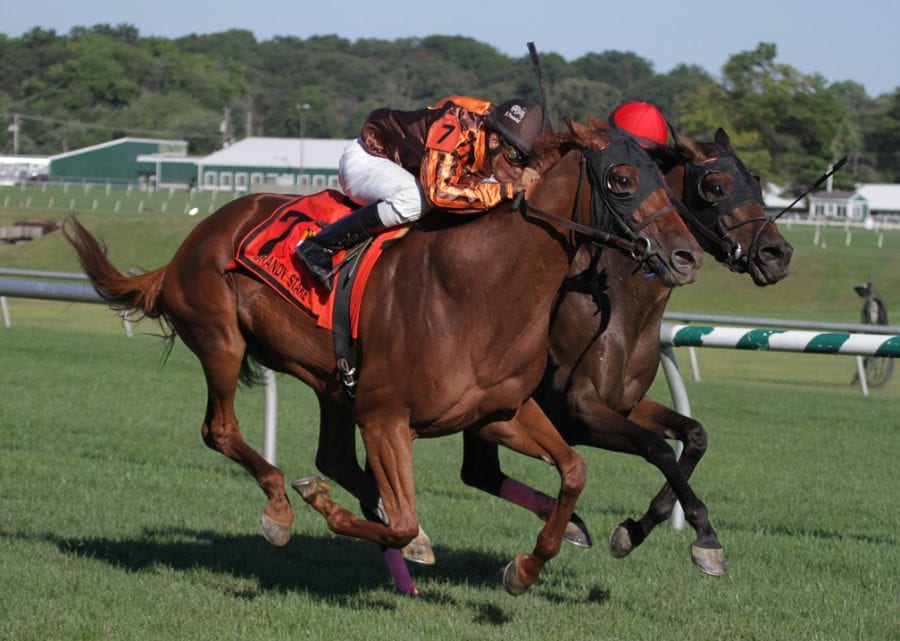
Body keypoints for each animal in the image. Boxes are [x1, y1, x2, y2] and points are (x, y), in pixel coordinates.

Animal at [67, 119, 708, 596]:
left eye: (667, 179)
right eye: (621, 178)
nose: (686, 256)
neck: (479, 291)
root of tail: (194, 238)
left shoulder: (501, 413)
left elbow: (574, 471)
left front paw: (526, 568)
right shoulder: (386, 419)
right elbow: (400, 521)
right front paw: (329, 508)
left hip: (329, 378)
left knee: (330, 455)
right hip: (222, 341)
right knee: (220, 430)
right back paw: (281, 507)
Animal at [380, 126, 796, 596]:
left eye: (756, 181)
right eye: (716, 186)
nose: (777, 254)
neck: (620, 304)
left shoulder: (624, 403)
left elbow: (694, 436)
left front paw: (634, 530)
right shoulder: (580, 412)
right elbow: (659, 449)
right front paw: (705, 541)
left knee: (479, 472)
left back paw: (569, 526)